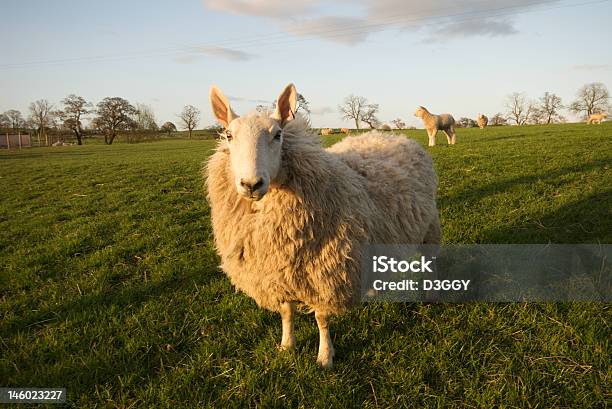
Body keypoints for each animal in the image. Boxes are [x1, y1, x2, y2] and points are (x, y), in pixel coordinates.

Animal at [206, 82, 440, 366]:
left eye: (278, 135)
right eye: (228, 135)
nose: (251, 184)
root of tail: (397, 137)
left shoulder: (326, 271)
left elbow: (321, 317)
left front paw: (325, 356)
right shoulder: (278, 273)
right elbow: (286, 312)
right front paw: (287, 345)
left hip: (430, 227)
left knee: (431, 262)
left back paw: (431, 296)